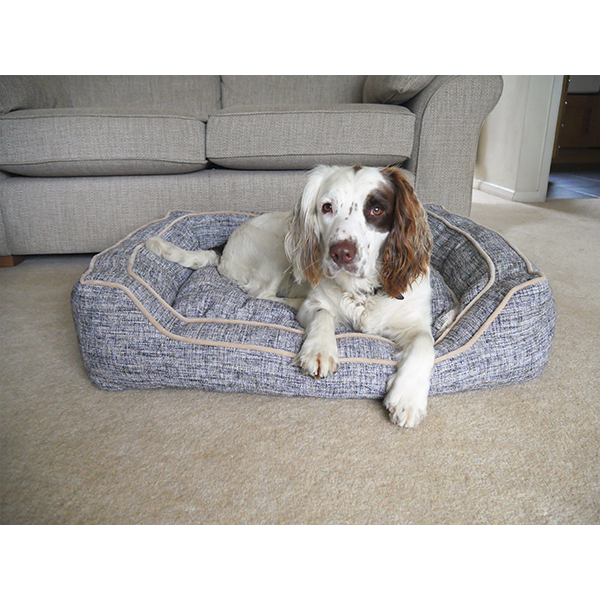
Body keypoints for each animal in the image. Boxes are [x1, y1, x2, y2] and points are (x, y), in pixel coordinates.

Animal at [145, 164, 436, 426]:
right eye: (327, 207)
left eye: (376, 209)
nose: (341, 253)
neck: (362, 291)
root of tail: (224, 246)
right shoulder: (315, 303)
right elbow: (322, 314)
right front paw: (320, 349)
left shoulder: (415, 321)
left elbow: (425, 343)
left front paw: (408, 398)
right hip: (277, 249)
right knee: (261, 294)